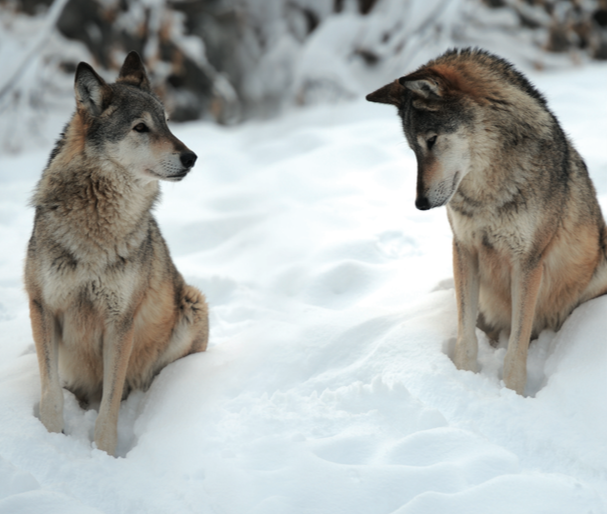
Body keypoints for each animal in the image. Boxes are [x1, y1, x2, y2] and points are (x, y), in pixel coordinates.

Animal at [25, 51, 210, 452]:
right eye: (140, 128)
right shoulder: (43, 307)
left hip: (192, 304)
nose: (191, 157)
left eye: (167, 123)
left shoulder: (119, 322)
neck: (96, 223)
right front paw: (51, 440)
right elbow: (50, 394)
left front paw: (104, 454)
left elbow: (109, 408)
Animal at [368, 48, 607, 392]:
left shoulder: (528, 262)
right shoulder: (464, 249)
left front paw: (512, 394)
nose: (420, 204)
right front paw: (463, 378)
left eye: (431, 140)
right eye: (413, 148)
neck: (486, 195)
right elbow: (465, 336)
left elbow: (516, 350)